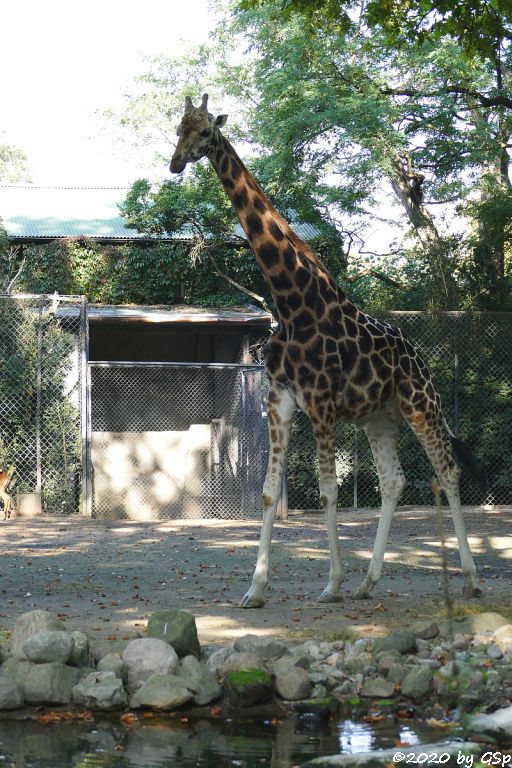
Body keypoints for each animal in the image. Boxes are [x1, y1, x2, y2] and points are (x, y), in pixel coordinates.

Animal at [170, 96, 486, 608]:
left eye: (203, 132)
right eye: (178, 129)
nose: (176, 163)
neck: (292, 300)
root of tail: (420, 357)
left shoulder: (320, 403)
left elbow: (326, 491)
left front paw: (331, 582)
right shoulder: (280, 399)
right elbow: (268, 491)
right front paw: (255, 589)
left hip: (421, 405)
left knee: (449, 470)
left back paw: (471, 578)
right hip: (380, 418)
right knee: (393, 481)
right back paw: (369, 581)